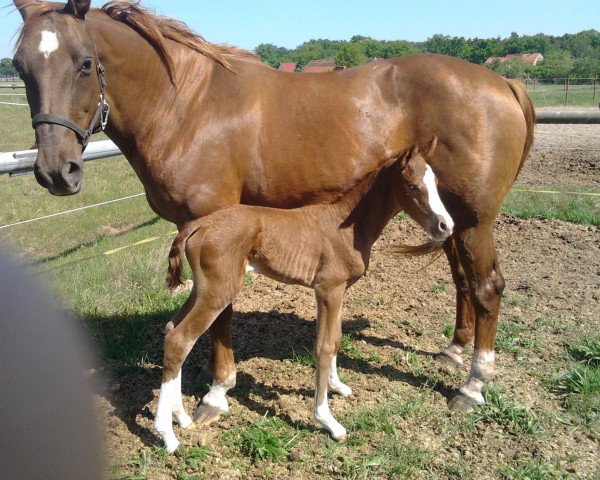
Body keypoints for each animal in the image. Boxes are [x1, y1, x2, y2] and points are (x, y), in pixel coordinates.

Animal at [155, 137, 454, 452]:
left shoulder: (337, 291)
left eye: (435, 182)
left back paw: (182, 417)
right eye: (413, 186)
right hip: (218, 292)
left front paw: (337, 386)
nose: (446, 226)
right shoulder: (328, 289)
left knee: (171, 328)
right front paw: (328, 420)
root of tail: (198, 225)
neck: (346, 226)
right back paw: (167, 435)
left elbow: (335, 339)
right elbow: (323, 347)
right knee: (180, 340)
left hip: (203, 289)